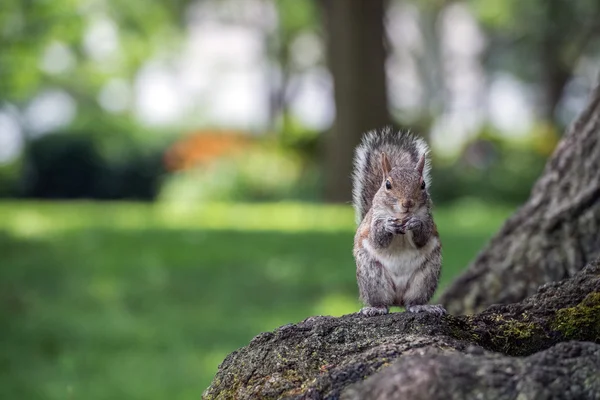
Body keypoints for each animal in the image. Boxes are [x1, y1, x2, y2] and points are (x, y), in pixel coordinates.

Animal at [352, 126, 446, 318]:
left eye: (423, 184)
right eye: (388, 185)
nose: (407, 203)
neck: (401, 215)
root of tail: (398, 299)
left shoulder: (428, 218)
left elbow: (423, 237)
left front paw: (415, 224)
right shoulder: (374, 219)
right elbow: (377, 239)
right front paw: (387, 226)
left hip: (425, 276)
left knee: (413, 301)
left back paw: (421, 306)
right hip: (372, 276)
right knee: (383, 302)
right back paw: (376, 308)